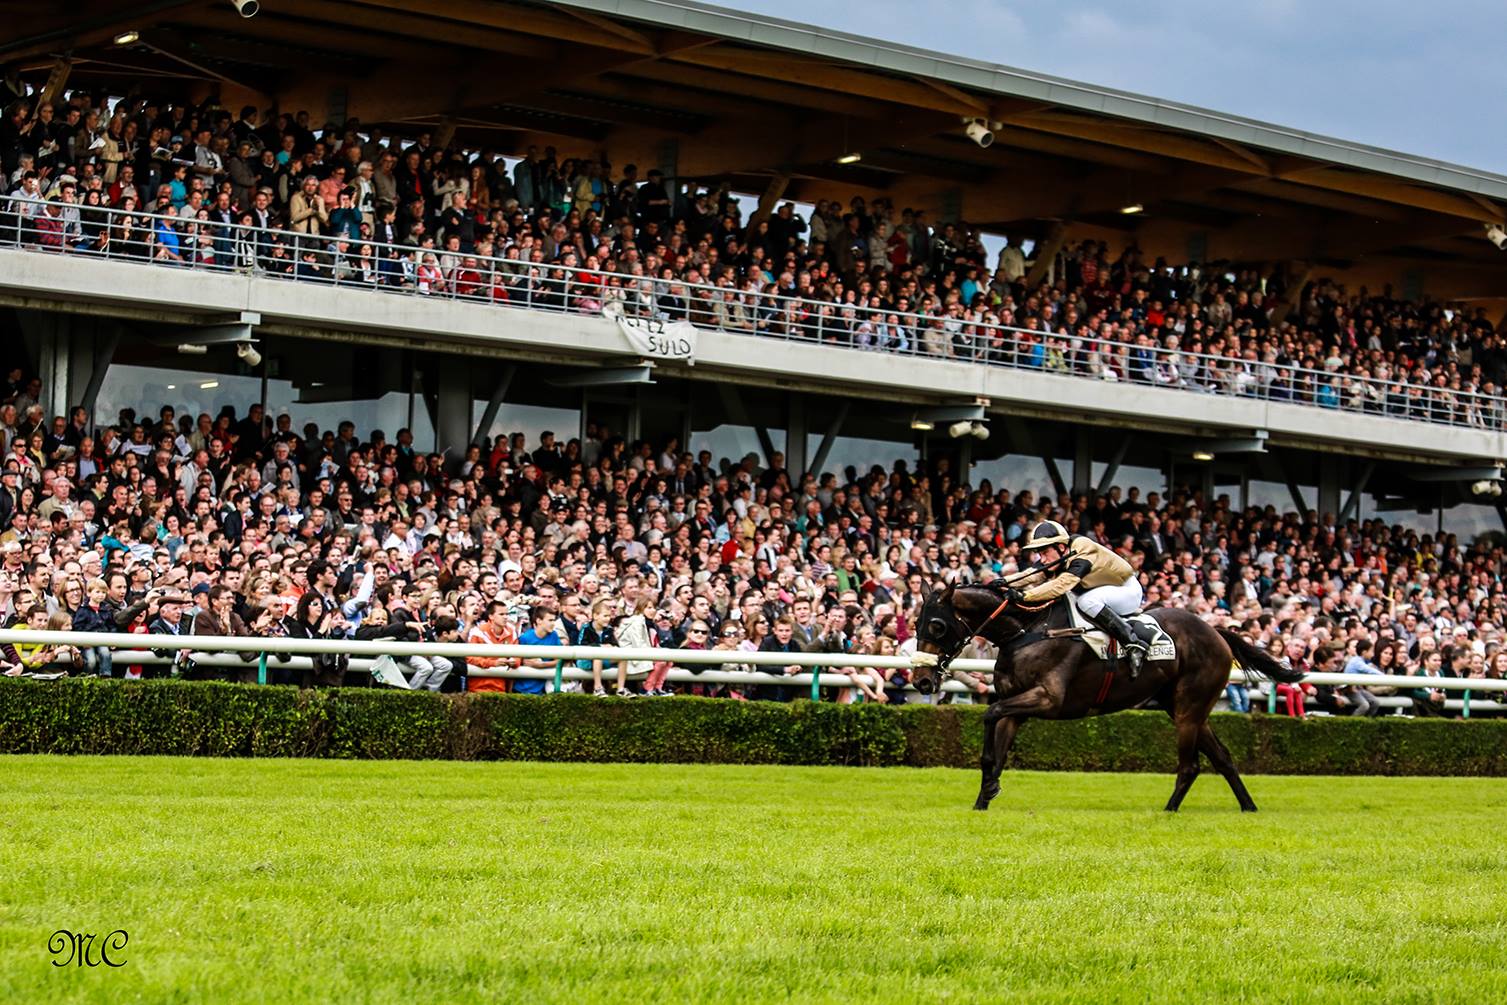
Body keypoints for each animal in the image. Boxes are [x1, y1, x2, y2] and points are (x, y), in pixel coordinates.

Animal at [904, 584, 1308, 813]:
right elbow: (997, 745)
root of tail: (1217, 631)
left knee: (1191, 765)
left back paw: (1170, 809)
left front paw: (988, 787)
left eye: (937, 625)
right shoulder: (1018, 706)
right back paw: (1248, 807)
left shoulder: (1047, 699)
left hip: (1189, 709)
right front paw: (984, 797)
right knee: (1222, 758)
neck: (1027, 631)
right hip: (1185, 709)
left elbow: (990, 715)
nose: (921, 679)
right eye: (915, 624)